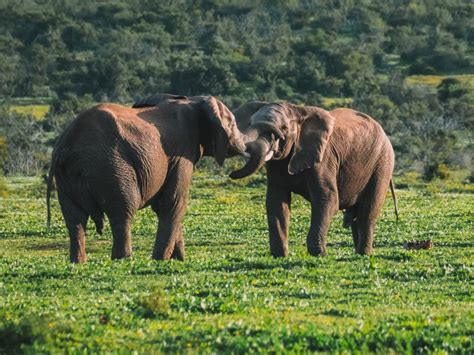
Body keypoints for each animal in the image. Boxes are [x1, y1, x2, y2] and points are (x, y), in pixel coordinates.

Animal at [45, 96, 246, 262]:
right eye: (234, 124)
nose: (243, 143)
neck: (195, 101)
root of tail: (66, 145)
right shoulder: (182, 151)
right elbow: (173, 202)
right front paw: (161, 260)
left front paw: (177, 260)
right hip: (111, 165)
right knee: (122, 210)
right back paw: (123, 260)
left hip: (67, 176)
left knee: (74, 218)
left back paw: (77, 262)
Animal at [228, 101, 398, 258]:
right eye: (250, 124)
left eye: (284, 128)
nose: (231, 173)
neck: (297, 111)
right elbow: (276, 201)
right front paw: (279, 256)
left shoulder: (324, 158)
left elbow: (327, 199)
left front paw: (318, 255)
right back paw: (359, 254)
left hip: (382, 163)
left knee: (366, 212)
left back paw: (364, 255)